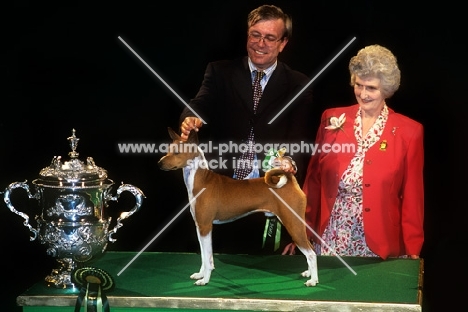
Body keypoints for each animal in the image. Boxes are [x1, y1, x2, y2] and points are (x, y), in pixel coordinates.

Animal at [157, 128, 318, 286]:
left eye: (177, 152)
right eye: (168, 150)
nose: (159, 163)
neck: (201, 181)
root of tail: (291, 180)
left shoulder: (205, 226)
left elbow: (208, 258)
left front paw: (205, 280)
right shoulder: (200, 227)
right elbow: (204, 256)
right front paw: (200, 274)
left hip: (293, 223)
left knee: (311, 253)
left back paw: (313, 280)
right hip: (297, 224)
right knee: (311, 249)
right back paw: (308, 273)